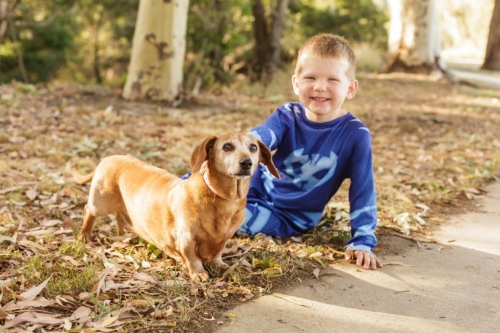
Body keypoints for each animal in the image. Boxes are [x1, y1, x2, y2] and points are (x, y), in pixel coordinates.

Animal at [73, 134, 280, 282]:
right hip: (100, 202)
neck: (222, 199)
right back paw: (85, 235)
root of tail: (109, 157)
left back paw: (124, 230)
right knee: (88, 211)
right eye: (227, 146)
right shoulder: (186, 240)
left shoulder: (225, 238)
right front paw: (198, 273)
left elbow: (217, 254)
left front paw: (219, 265)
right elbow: (193, 259)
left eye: (253, 147)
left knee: (119, 215)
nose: (247, 163)